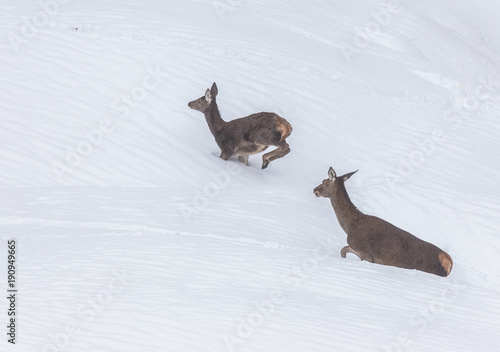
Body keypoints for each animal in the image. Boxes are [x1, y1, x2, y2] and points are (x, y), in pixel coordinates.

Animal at [314, 166, 456, 276]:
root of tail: (450, 263)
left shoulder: (366, 254)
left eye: (324, 180)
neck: (350, 226)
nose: (315, 189)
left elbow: (343, 249)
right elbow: (343, 249)